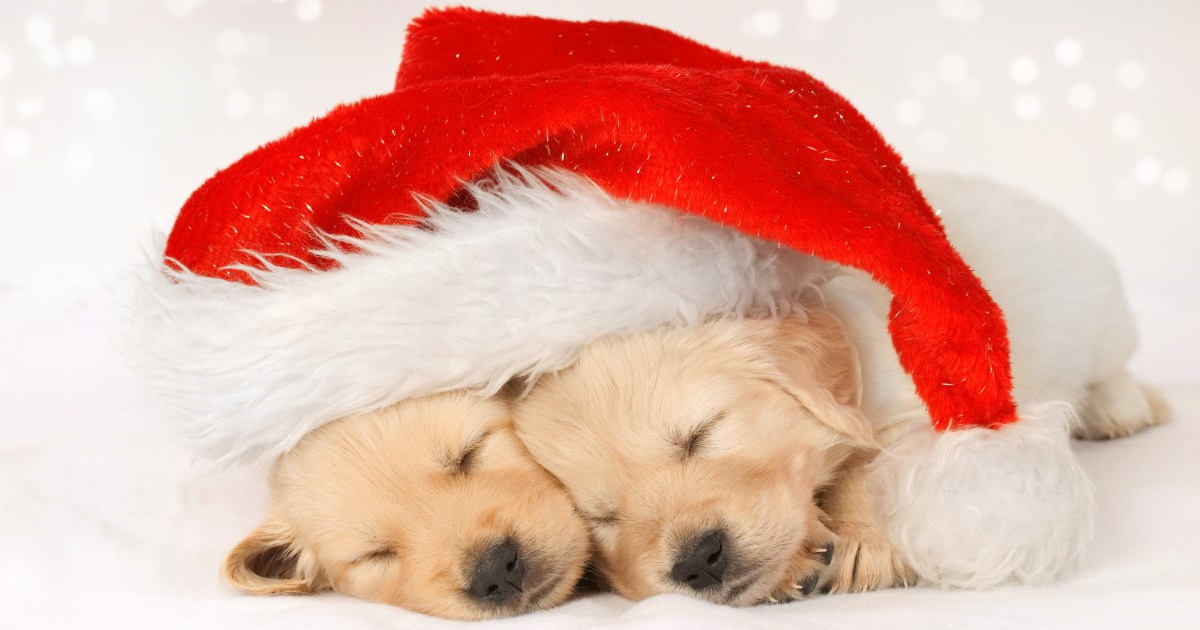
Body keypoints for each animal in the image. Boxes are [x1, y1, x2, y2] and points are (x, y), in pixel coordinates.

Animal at [511, 171, 1166, 604]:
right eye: (601, 516)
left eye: (702, 434)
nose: (697, 561)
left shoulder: (918, 402)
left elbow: (871, 465)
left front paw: (858, 539)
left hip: (1101, 314)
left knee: (1111, 369)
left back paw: (1121, 406)